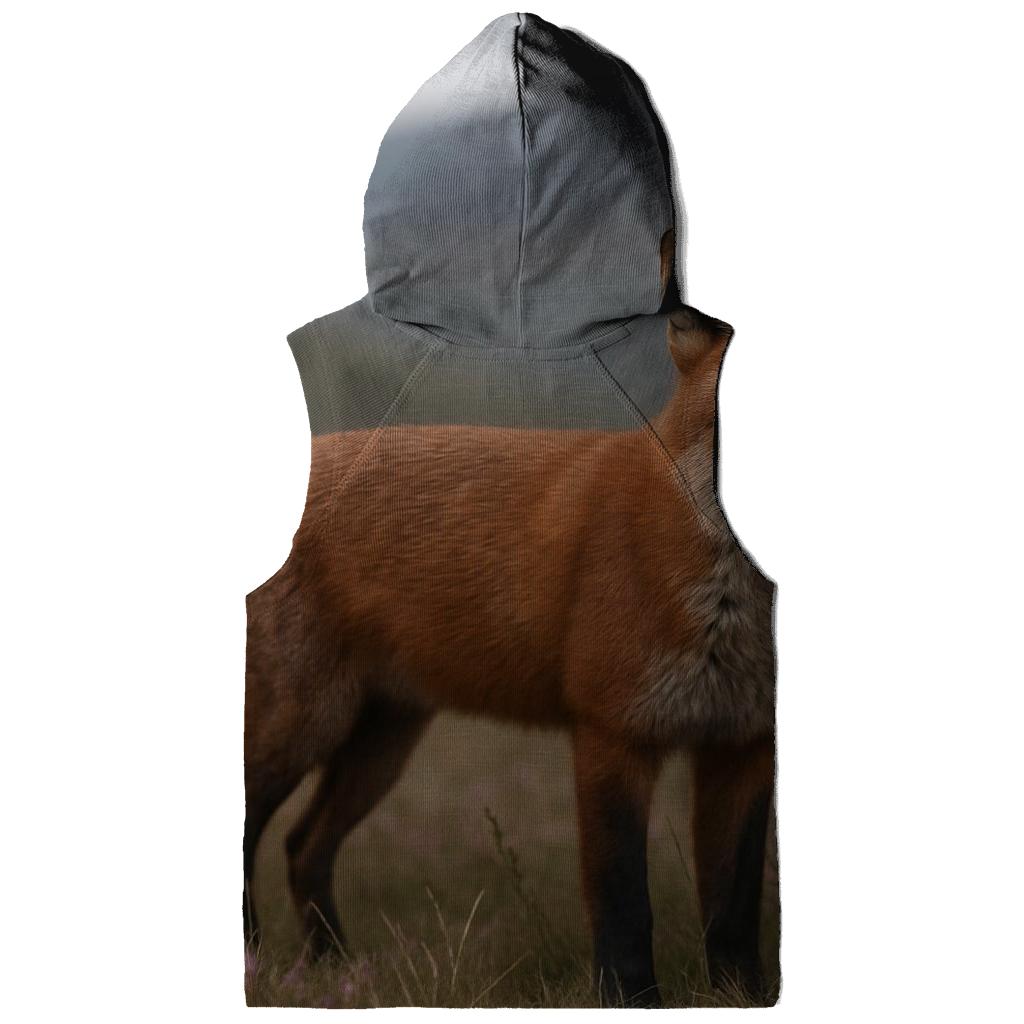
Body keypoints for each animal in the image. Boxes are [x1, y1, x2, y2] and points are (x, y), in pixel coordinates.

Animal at [244, 235, 778, 1007]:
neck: (728, 618)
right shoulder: (611, 733)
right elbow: (624, 908)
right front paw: (630, 1003)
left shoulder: (741, 743)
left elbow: (734, 918)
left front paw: (739, 1000)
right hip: (302, 721)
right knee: (250, 833)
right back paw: (255, 963)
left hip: (383, 741)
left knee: (301, 846)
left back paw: (335, 971)